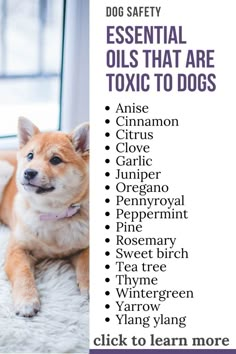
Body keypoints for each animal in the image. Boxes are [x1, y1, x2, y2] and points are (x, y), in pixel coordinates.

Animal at [0, 117, 89, 316]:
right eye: (30, 156)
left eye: (56, 160)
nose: (29, 172)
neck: (52, 215)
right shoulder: (17, 249)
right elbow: (23, 273)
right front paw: (26, 300)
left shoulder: (84, 245)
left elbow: (86, 264)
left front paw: (88, 287)